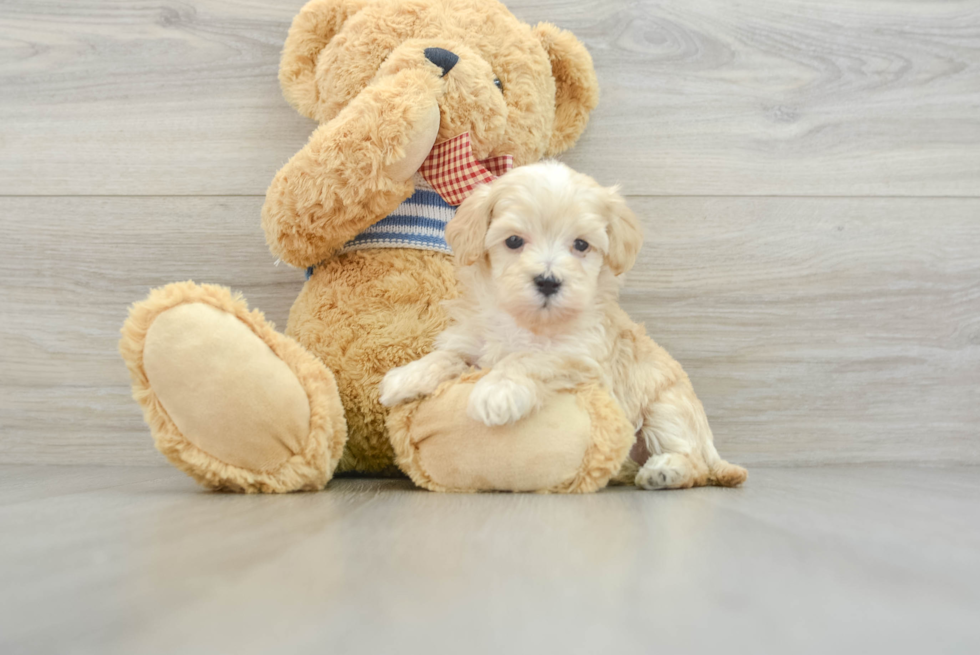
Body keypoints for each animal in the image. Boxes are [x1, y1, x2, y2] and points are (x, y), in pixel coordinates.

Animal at [378, 161, 748, 490]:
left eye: (581, 244)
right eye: (514, 241)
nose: (548, 281)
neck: (530, 322)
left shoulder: (582, 358)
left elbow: (529, 357)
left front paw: (497, 390)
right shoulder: (474, 339)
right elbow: (448, 355)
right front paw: (406, 376)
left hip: (668, 409)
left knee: (694, 463)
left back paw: (665, 472)